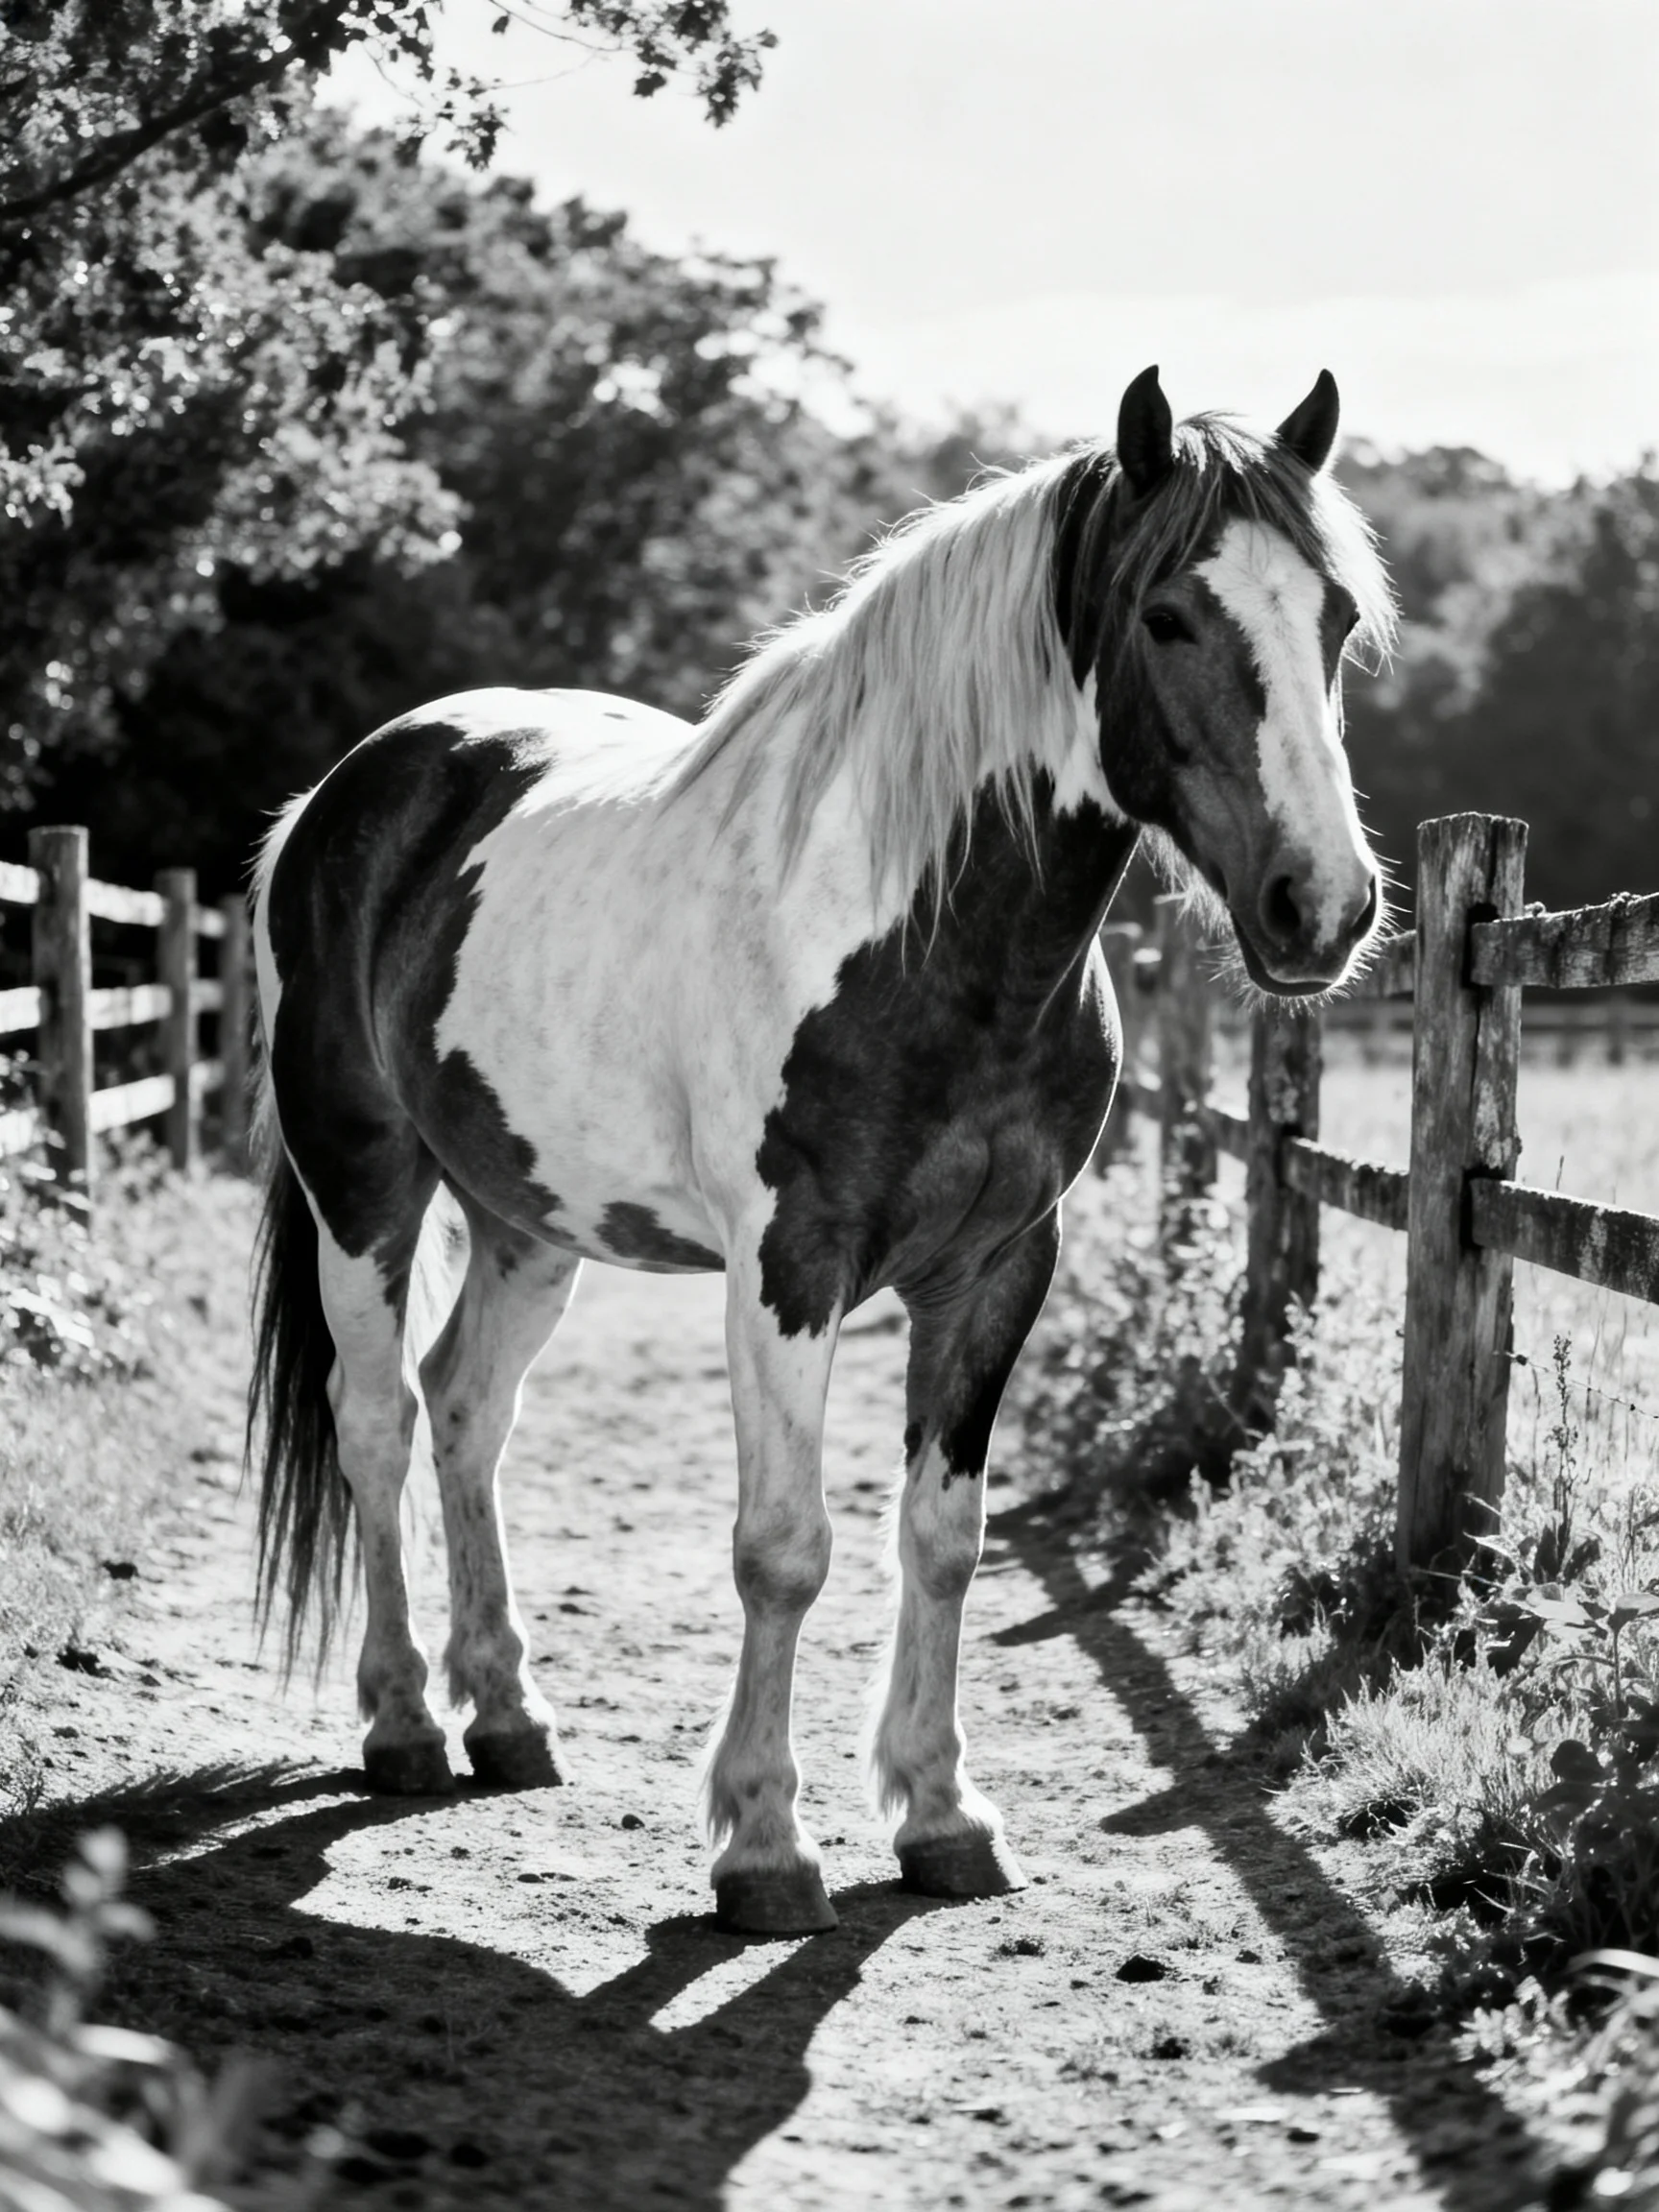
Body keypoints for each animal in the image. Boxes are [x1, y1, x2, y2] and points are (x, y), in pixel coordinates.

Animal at [248, 365, 1395, 1937]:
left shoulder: (995, 1269)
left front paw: (942, 1815)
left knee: (467, 1406)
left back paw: (509, 1718)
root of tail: (352, 792)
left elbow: (944, 1536)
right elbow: (784, 1549)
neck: (924, 939)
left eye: (1332, 617)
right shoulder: (788, 1266)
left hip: (530, 1218)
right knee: (376, 1419)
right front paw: (764, 1848)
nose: (1321, 907)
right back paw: (407, 1724)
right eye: (1169, 616)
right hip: (361, 1180)